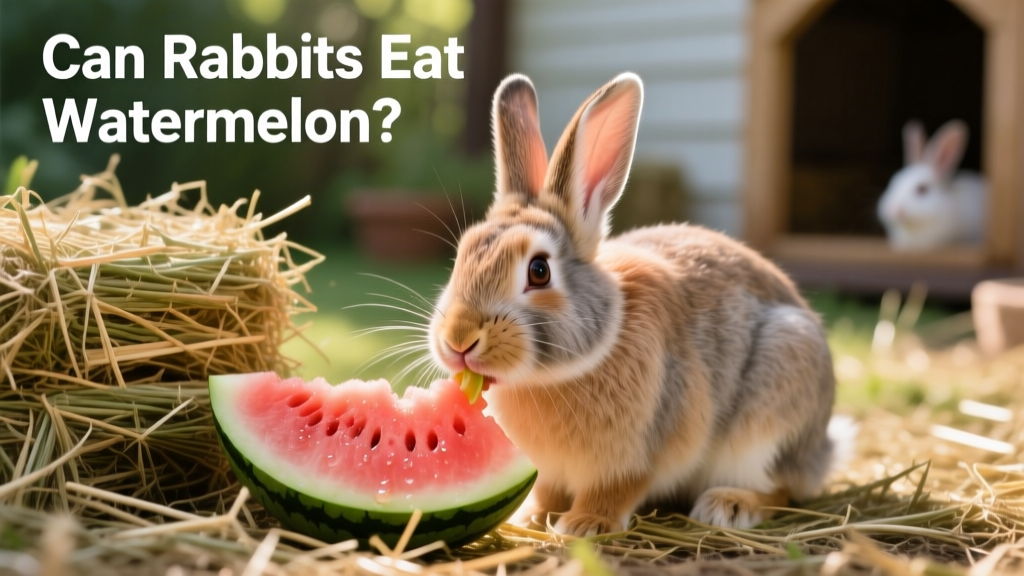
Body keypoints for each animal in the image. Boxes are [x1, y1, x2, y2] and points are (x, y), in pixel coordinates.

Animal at [428, 72, 842, 536]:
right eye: (461, 255)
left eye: (539, 270)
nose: (458, 339)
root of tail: (824, 447)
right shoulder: (549, 470)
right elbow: (547, 491)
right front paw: (532, 517)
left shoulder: (637, 455)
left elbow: (615, 490)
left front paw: (583, 525)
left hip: (774, 409)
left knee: (782, 488)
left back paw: (730, 505)